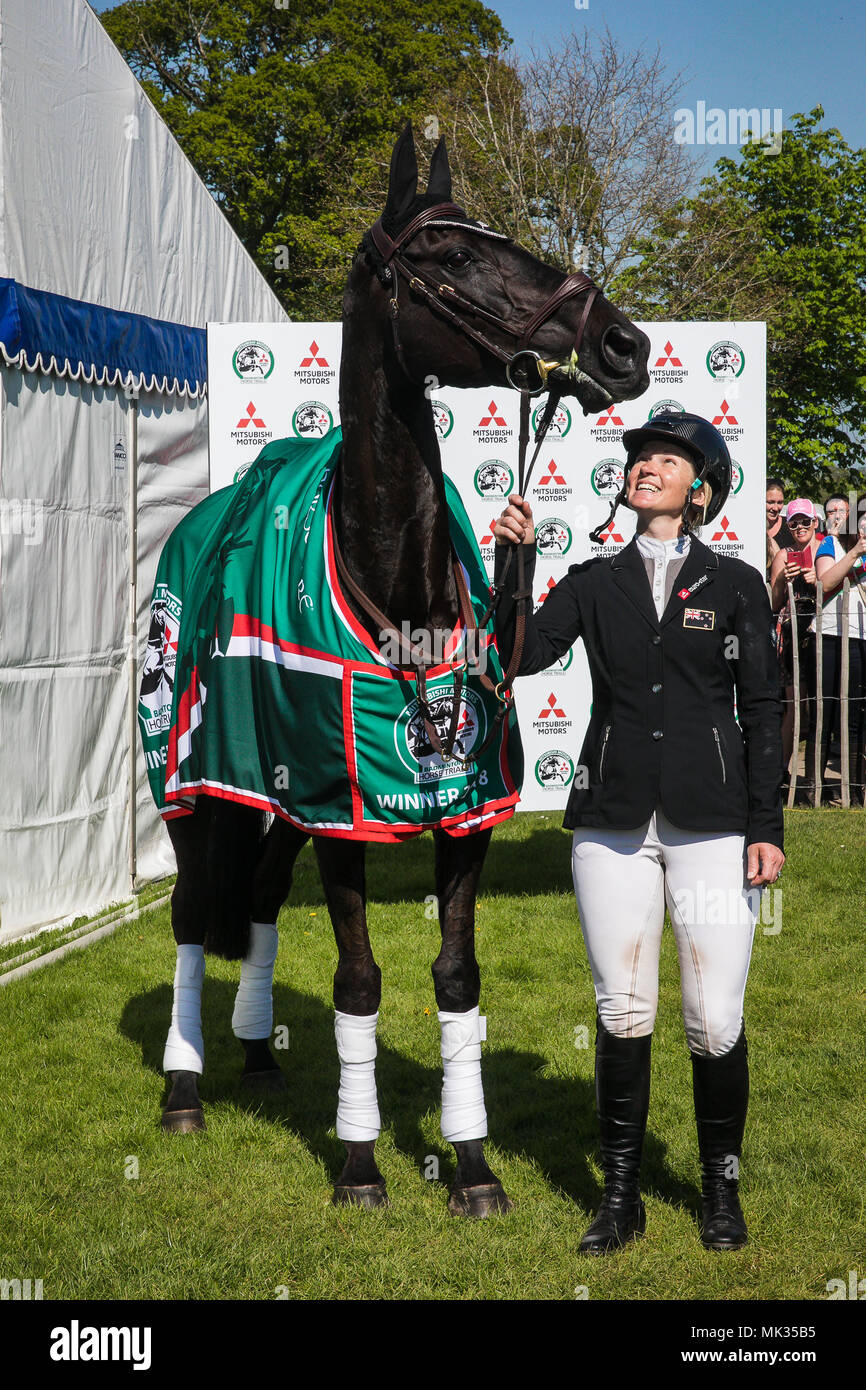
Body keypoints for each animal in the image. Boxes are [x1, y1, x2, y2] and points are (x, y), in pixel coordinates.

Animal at [159, 127, 650, 1217]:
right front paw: (357, 1163)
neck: (394, 586)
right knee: (192, 913)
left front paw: (470, 1164)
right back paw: (183, 1090)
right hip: (192, 788)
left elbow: (455, 976)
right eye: (454, 255)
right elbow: (358, 982)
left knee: (258, 900)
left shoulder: (456, 815)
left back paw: (258, 1054)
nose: (623, 345)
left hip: (277, 797)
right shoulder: (343, 817)